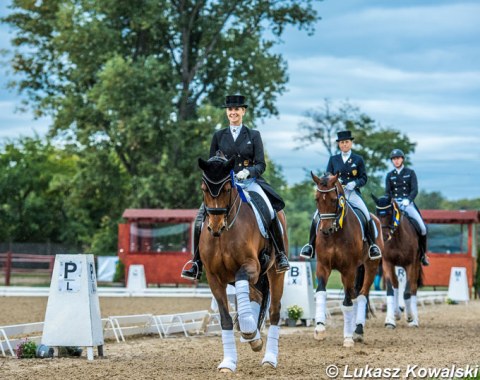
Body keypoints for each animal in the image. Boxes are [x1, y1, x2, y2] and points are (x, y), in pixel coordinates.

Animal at [198, 154, 286, 372]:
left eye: (227, 188)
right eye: (204, 188)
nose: (215, 227)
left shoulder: (251, 267)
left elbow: (242, 282)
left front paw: (247, 328)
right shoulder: (214, 277)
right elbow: (225, 319)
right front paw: (228, 362)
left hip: (274, 272)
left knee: (274, 312)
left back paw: (269, 358)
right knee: (256, 295)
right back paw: (253, 337)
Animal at [312, 172, 382, 348]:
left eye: (333, 200)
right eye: (317, 199)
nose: (325, 230)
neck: (336, 233)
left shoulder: (348, 269)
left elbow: (347, 303)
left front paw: (348, 338)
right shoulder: (323, 266)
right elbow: (321, 292)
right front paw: (320, 328)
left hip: (370, 266)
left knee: (361, 296)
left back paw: (357, 331)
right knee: (355, 295)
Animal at [372, 194, 424, 328]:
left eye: (390, 212)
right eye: (377, 213)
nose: (384, 237)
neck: (396, 239)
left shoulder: (410, 265)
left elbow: (407, 292)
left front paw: (410, 317)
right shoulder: (387, 263)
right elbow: (391, 290)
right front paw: (390, 319)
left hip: (415, 266)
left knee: (413, 288)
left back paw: (414, 320)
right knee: (396, 285)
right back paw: (396, 313)